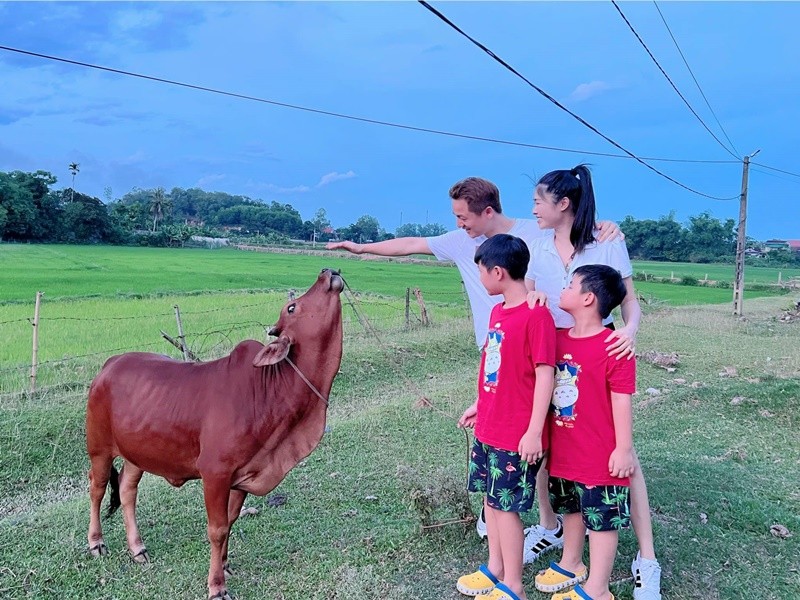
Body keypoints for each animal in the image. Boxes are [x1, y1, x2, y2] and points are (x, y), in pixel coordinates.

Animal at [86, 268, 346, 600]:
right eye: (291, 307)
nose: (328, 272)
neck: (270, 389)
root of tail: (110, 364)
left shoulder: (243, 475)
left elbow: (231, 521)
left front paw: (224, 565)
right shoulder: (215, 473)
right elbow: (218, 529)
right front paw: (216, 585)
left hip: (137, 453)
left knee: (128, 491)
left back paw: (137, 548)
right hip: (99, 449)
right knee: (97, 488)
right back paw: (96, 542)